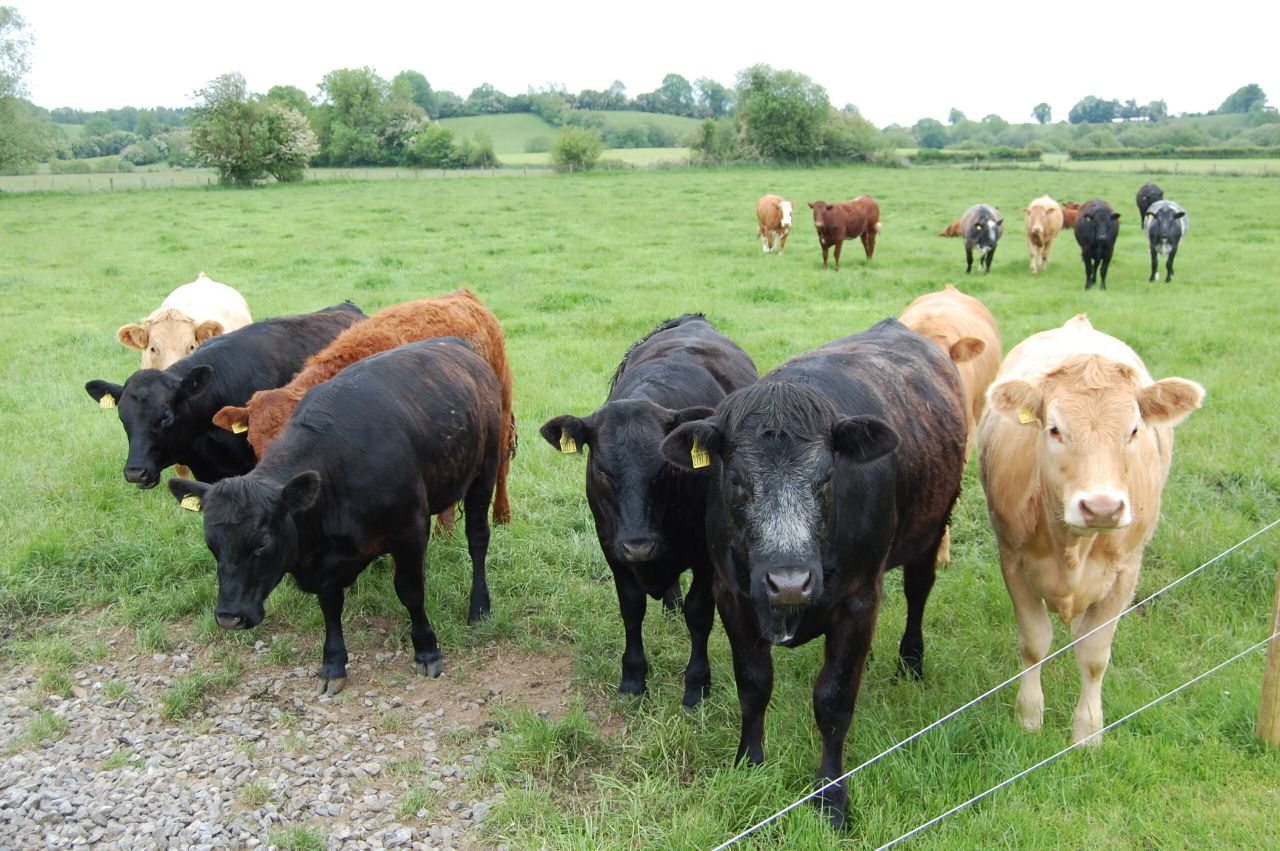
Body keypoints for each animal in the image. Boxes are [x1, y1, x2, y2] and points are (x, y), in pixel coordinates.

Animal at [169, 338, 503, 697]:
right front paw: (333, 664)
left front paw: (426, 649)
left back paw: (479, 606)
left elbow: (410, 590)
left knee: (478, 538)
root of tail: (454, 344)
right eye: (212, 546)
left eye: (262, 544)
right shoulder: (323, 563)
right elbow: (330, 605)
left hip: (485, 471)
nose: (229, 617)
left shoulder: (411, 530)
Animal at [540, 315, 758, 708]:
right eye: (601, 471)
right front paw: (633, 678)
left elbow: (699, 613)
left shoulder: (706, 555)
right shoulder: (612, 547)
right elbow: (631, 609)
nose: (639, 544)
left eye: (663, 468)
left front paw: (696, 684)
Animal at [660, 318, 967, 828]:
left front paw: (831, 796)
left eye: (826, 478)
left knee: (918, 592)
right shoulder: (732, 595)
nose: (788, 583)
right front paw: (749, 760)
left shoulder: (860, 600)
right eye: (736, 480)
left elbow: (834, 700)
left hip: (932, 528)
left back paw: (910, 661)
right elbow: (753, 683)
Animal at [978, 314, 1203, 744]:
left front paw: (1087, 733)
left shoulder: (1126, 572)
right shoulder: (1012, 559)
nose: (1102, 507)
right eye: (1054, 429)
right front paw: (1029, 717)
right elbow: (1034, 643)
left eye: (1134, 430)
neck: (1072, 546)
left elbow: (1094, 655)